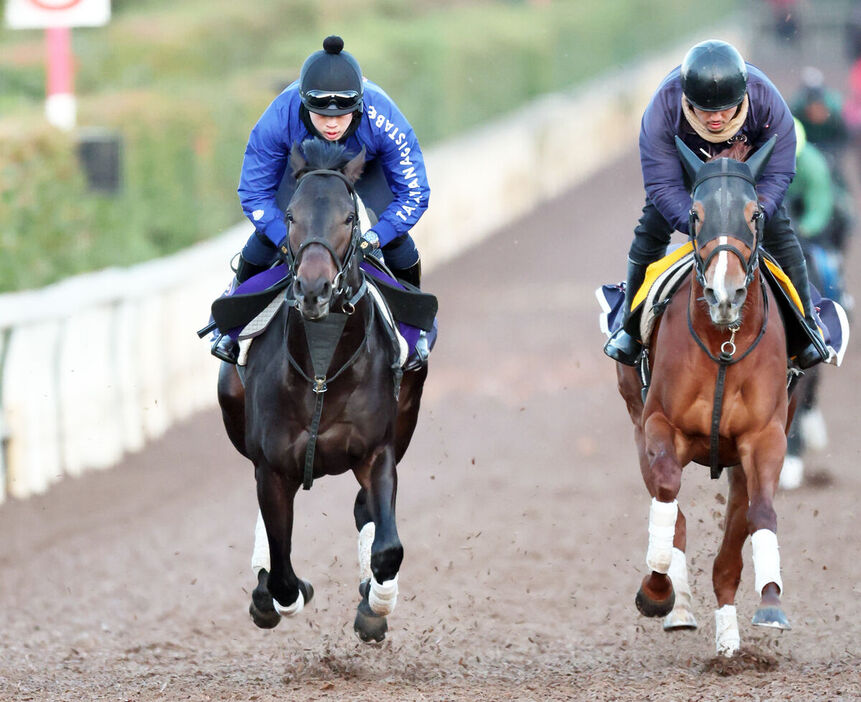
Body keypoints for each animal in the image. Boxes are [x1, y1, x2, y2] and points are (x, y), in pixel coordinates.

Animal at [218, 140, 426, 648]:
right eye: (290, 216)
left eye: (349, 219)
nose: (314, 289)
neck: (321, 372)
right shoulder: (272, 466)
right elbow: (281, 572)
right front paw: (278, 597)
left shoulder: (376, 451)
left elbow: (389, 548)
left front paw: (376, 605)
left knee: (365, 512)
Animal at [616, 139, 796, 660]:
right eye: (695, 215)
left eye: (756, 214)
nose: (724, 293)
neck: (724, 344)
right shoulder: (658, 424)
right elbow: (667, 492)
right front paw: (658, 593)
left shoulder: (765, 437)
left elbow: (761, 512)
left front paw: (770, 604)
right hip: (636, 420)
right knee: (669, 504)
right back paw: (677, 605)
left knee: (734, 536)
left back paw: (730, 642)